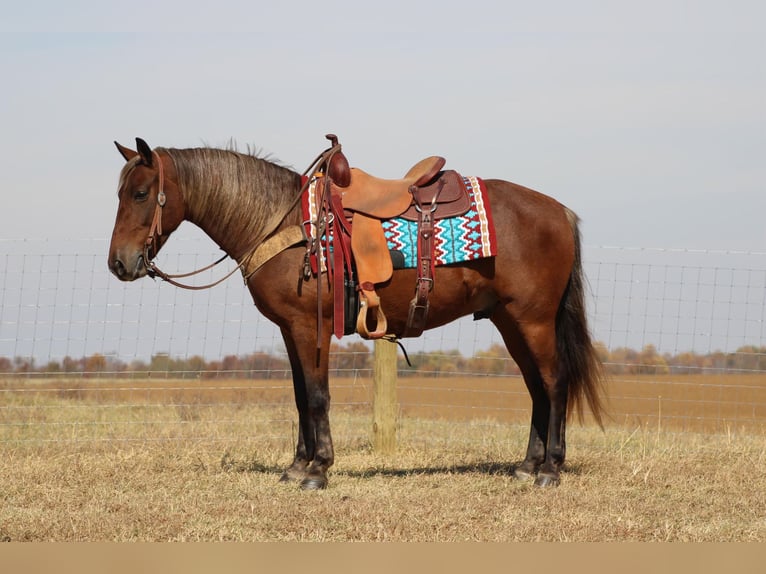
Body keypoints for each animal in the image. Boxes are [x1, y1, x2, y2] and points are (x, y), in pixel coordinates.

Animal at [108, 136, 608, 490]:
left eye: (140, 193)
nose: (119, 264)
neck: (285, 224)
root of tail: (559, 211)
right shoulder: (291, 330)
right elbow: (299, 396)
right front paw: (298, 465)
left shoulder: (309, 326)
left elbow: (316, 396)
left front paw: (318, 470)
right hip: (510, 321)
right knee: (537, 388)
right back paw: (527, 465)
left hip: (534, 319)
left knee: (554, 383)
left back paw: (550, 469)